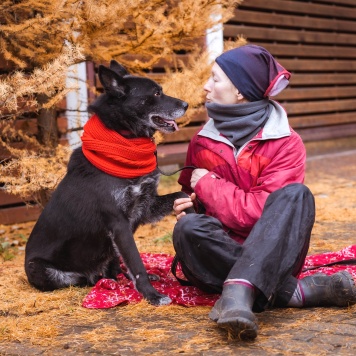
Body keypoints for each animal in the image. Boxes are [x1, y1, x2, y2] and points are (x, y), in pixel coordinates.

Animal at [24, 59, 193, 304]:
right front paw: (151, 294)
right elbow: (135, 262)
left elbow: (181, 195)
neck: (125, 142)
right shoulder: (118, 223)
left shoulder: (145, 207)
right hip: (40, 268)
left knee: (112, 263)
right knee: (83, 277)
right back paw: (100, 279)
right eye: (156, 93)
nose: (186, 104)